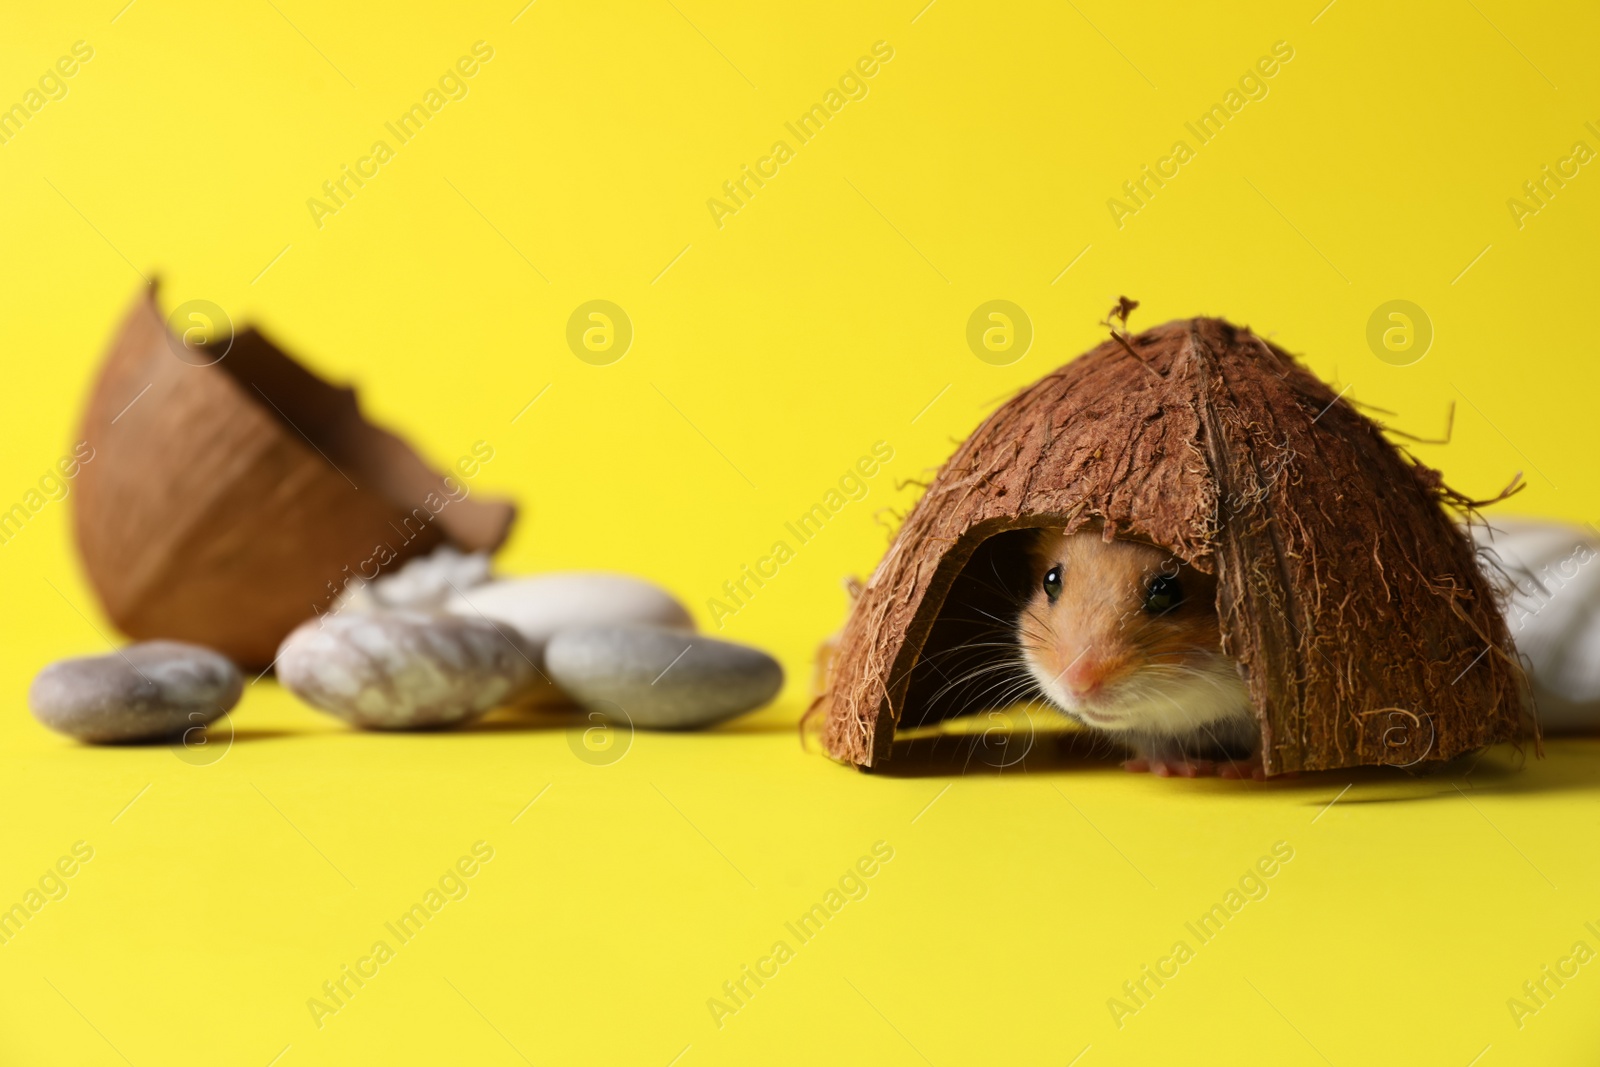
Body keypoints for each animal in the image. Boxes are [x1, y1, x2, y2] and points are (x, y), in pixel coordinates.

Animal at [1011, 531, 1260, 780]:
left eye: (1165, 592)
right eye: (1050, 581)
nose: (1077, 684)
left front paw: (1234, 771)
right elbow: (1155, 744)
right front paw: (1184, 769)